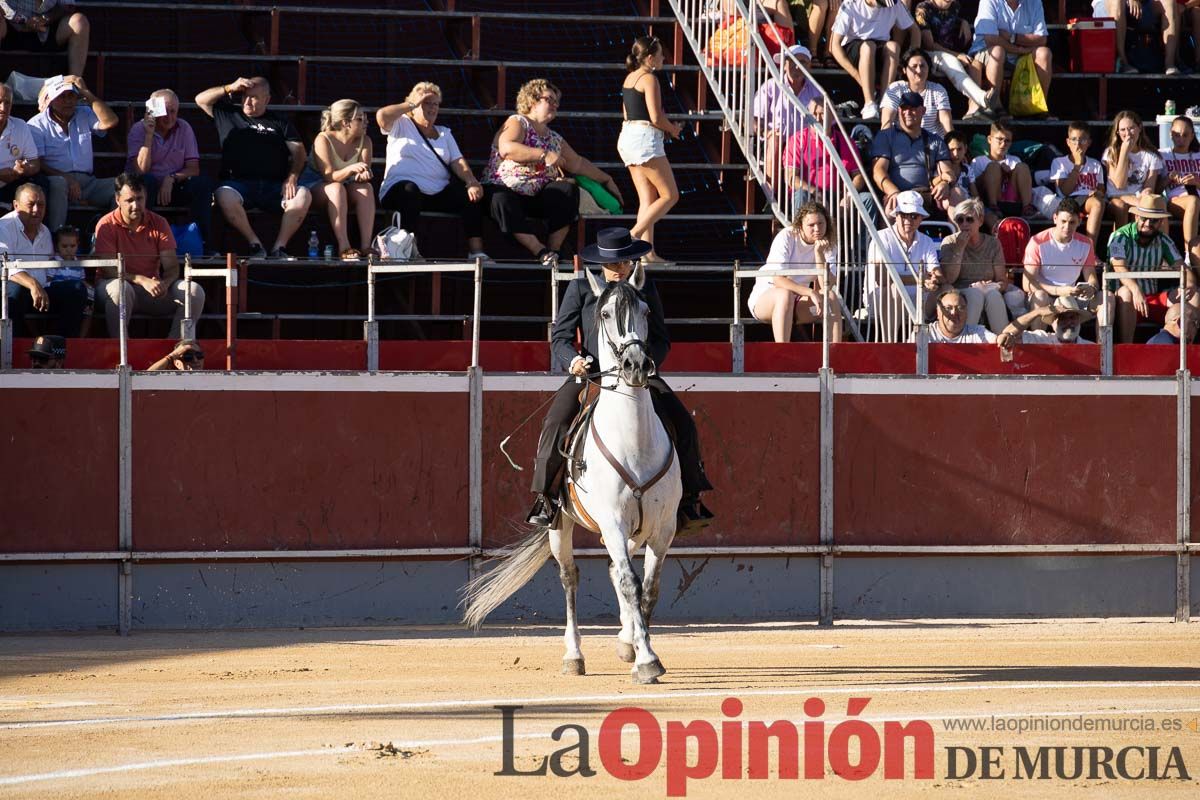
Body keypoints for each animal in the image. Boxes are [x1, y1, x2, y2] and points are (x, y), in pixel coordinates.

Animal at [460, 262, 681, 681]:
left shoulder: (663, 528)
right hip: (560, 525)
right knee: (570, 577)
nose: (636, 366)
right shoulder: (612, 521)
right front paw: (645, 660)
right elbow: (629, 582)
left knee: (613, 569)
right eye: (605, 314)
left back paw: (625, 640)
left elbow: (647, 588)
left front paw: (637, 648)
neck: (634, 440)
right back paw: (574, 655)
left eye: (647, 311)